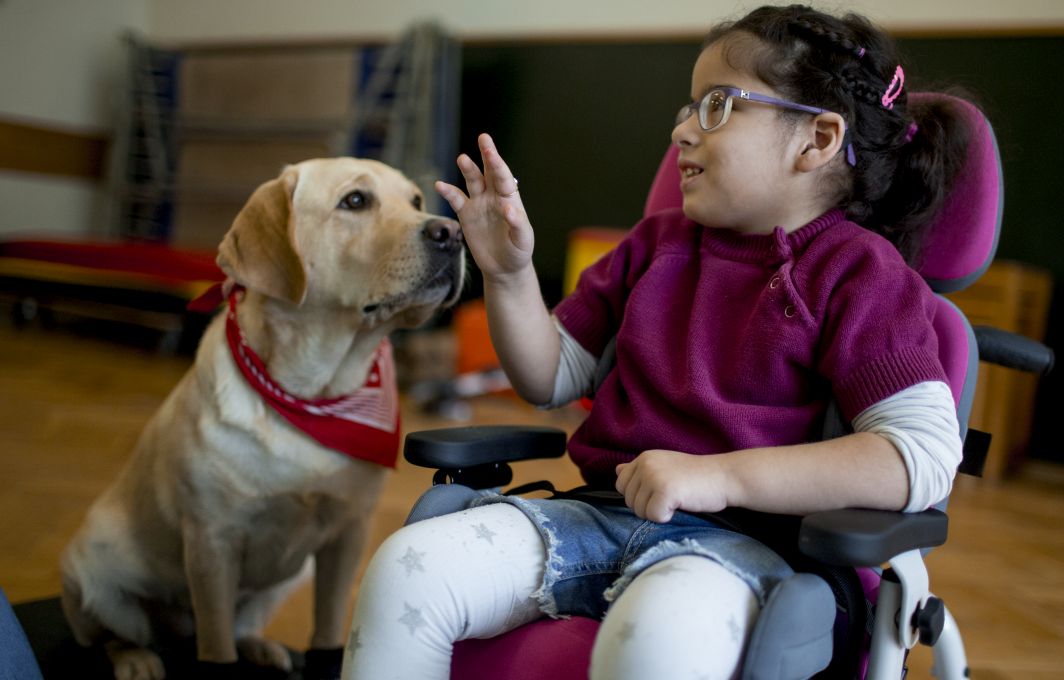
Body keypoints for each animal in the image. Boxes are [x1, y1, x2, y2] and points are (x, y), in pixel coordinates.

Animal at [58, 157, 463, 676]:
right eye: (355, 201)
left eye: (415, 200)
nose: (452, 232)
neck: (313, 393)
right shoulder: (212, 540)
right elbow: (216, 646)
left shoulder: (347, 533)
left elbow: (328, 629)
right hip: (92, 573)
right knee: (115, 634)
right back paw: (136, 658)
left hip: (290, 575)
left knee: (240, 625)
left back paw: (260, 647)